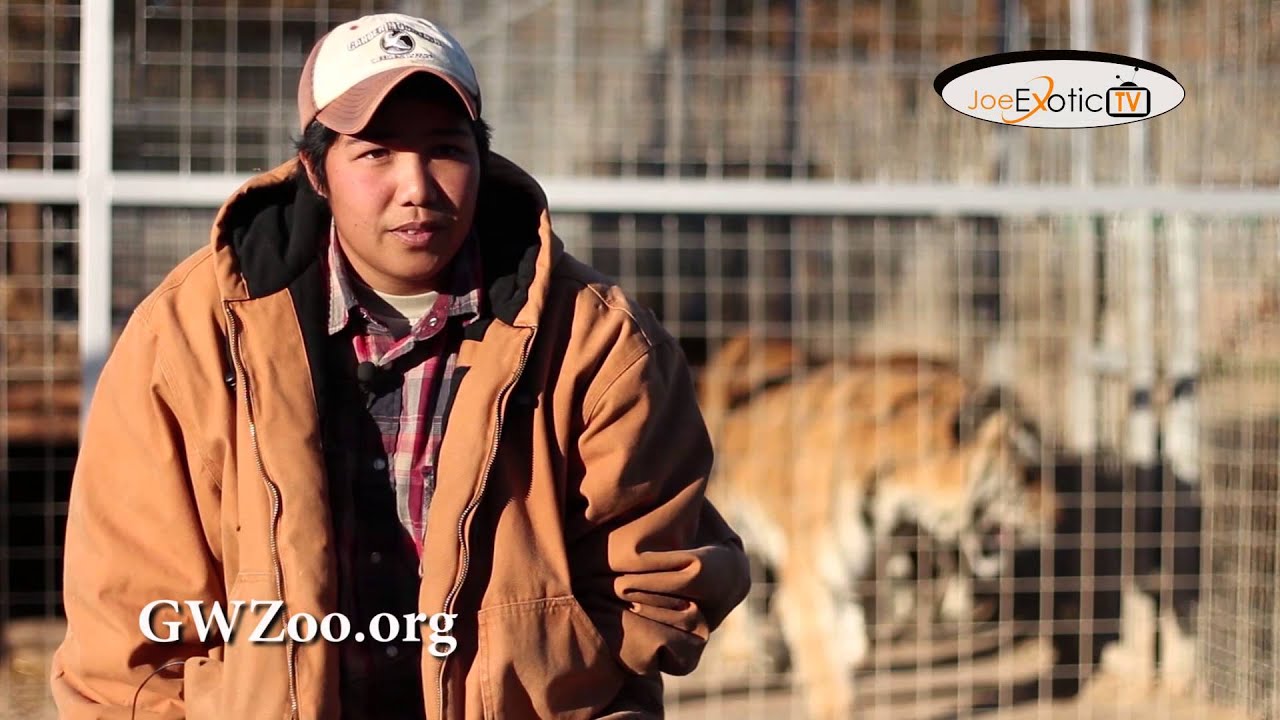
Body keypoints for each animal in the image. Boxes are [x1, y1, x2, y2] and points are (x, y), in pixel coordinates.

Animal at [698, 334, 1056, 720]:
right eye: (1028, 473)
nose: (1058, 516)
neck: (895, 497)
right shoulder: (811, 575)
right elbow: (824, 662)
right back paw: (742, 655)